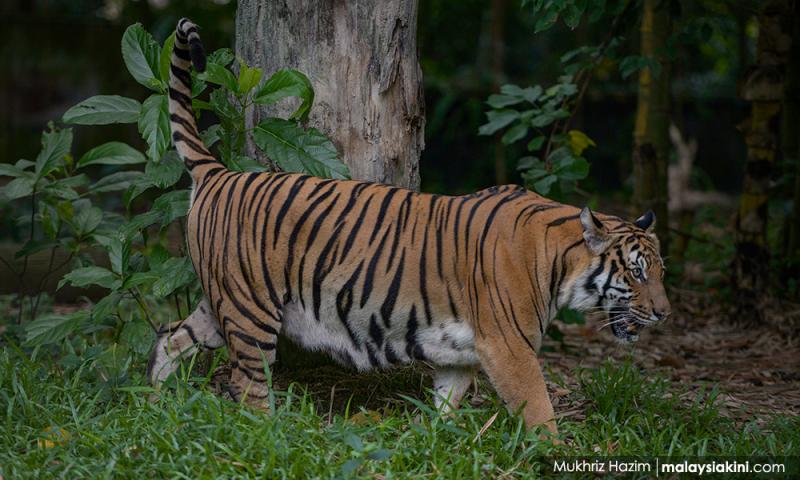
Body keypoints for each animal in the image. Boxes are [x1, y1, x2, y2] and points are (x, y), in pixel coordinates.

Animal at [147, 18, 671, 435]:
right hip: (250, 310)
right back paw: (265, 432)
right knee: (248, 384)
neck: (560, 263)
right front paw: (550, 452)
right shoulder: (510, 348)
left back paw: (152, 402)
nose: (665, 314)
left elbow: (446, 403)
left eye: (661, 273)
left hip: (222, 303)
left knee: (169, 337)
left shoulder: (464, 354)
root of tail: (221, 172)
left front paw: (435, 440)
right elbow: (539, 409)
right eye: (637, 273)